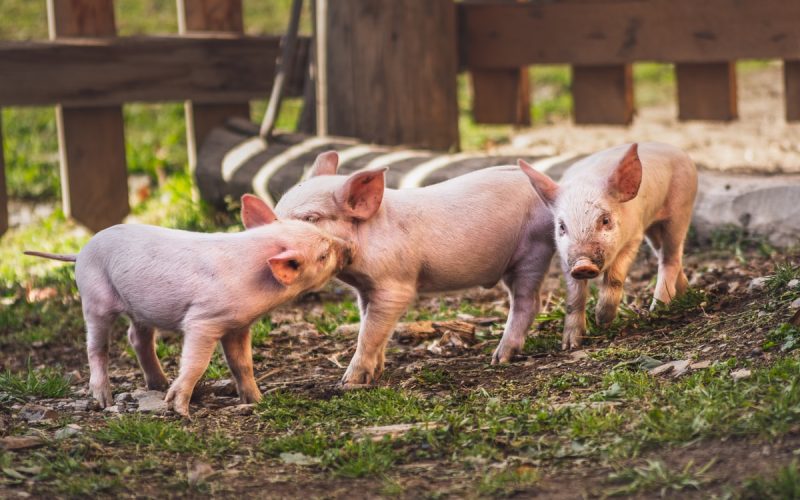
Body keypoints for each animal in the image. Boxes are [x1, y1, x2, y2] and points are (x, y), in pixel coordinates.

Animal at [24, 195, 350, 416]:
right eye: (323, 254)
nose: (349, 248)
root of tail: (80, 251)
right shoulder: (203, 320)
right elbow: (196, 362)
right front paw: (179, 409)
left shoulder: (238, 326)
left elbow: (242, 364)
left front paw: (258, 400)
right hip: (94, 297)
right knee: (96, 346)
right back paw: (106, 400)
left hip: (138, 308)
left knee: (137, 338)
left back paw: (158, 384)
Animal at [273, 151, 556, 387]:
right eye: (277, 211)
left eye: (311, 218)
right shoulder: (366, 289)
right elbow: (372, 326)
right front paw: (376, 373)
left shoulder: (395, 284)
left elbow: (369, 332)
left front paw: (348, 384)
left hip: (533, 250)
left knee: (528, 301)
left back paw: (499, 358)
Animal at [519, 142, 698, 349]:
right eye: (562, 226)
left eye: (605, 220)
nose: (583, 264)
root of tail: (677, 151)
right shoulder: (565, 257)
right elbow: (574, 295)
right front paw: (570, 345)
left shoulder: (633, 237)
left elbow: (615, 277)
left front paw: (602, 321)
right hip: (654, 229)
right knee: (665, 255)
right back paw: (684, 293)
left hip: (680, 209)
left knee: (671, 258)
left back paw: (658, 309)